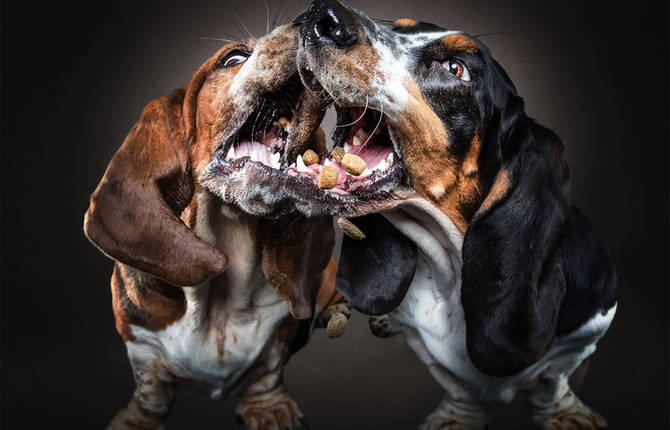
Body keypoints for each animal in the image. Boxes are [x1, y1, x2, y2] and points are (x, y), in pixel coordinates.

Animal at [83, 26, 350, 430]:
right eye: (232, 59)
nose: (311, 23)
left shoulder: (280, 337)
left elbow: (268, 370)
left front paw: (270, 409)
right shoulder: (139, 340)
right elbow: (150, 386)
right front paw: (138, 418)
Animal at [224, 1, 620, 428]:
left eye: (455, 69)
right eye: (399, 28)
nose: (320, 16)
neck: (450, 267)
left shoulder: (584, 338)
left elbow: (553, 378)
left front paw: (564, 412)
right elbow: (456, 383)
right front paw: (457, 416)